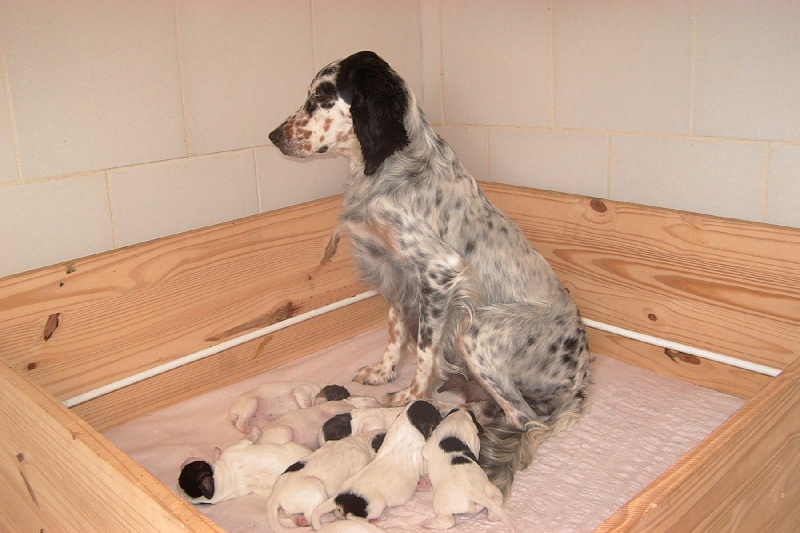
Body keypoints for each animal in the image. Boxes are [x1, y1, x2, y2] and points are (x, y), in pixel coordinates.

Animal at [272, 50, 592, 494]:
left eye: (321, 96)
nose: (273, 136)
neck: (387, 168)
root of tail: (579, 378)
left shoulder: (439, 272)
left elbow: (424, 350)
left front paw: (410, 398)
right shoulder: (398, 272)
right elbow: (395, 330)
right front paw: (383, 372)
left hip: (477, 331)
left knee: (523, 418)